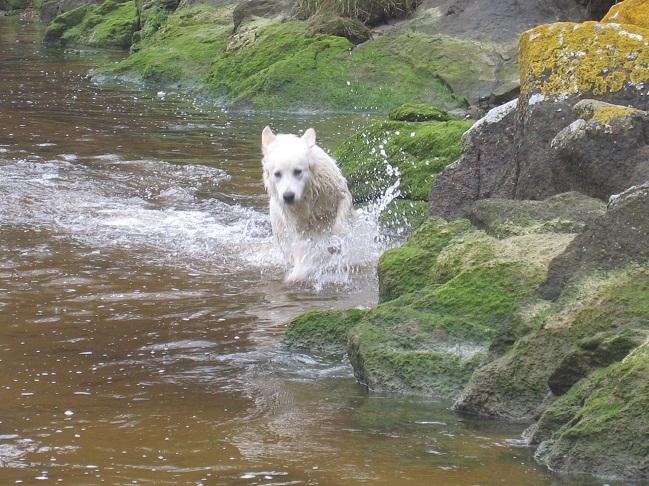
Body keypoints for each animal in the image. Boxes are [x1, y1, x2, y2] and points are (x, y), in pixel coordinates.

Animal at [261, 125, 356, 283]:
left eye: (297, 171)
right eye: (277, 173)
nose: (288, 196)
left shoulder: (331, 188)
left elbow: (342, 209)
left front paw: (334, 245)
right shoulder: (295, 215)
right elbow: (301, 240)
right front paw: (297, 274)